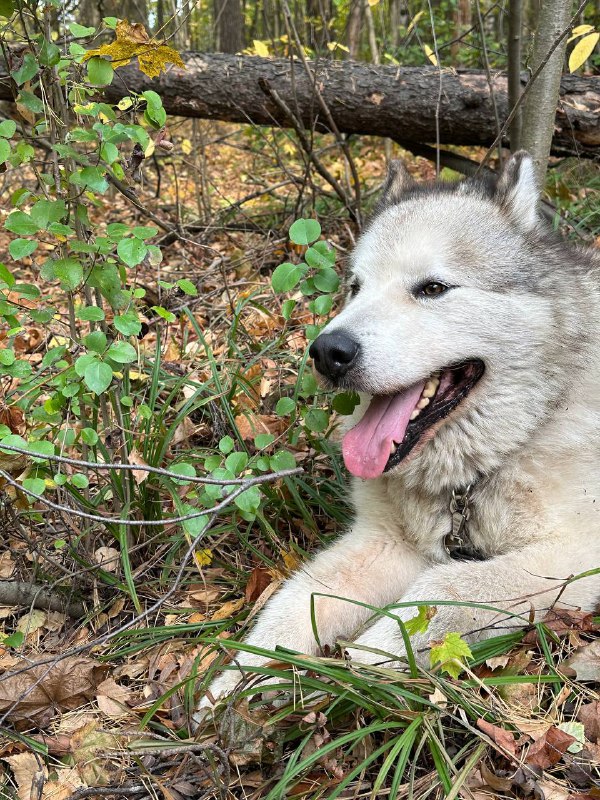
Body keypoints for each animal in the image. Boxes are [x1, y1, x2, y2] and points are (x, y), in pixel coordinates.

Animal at [199, 153, 600, 716]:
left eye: (432, 288)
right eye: (355, 287)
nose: (328, 352)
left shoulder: (575, 556)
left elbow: (448, 586)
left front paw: (368, 657)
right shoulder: (384, 543)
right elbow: (297, 598)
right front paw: (242, 677)